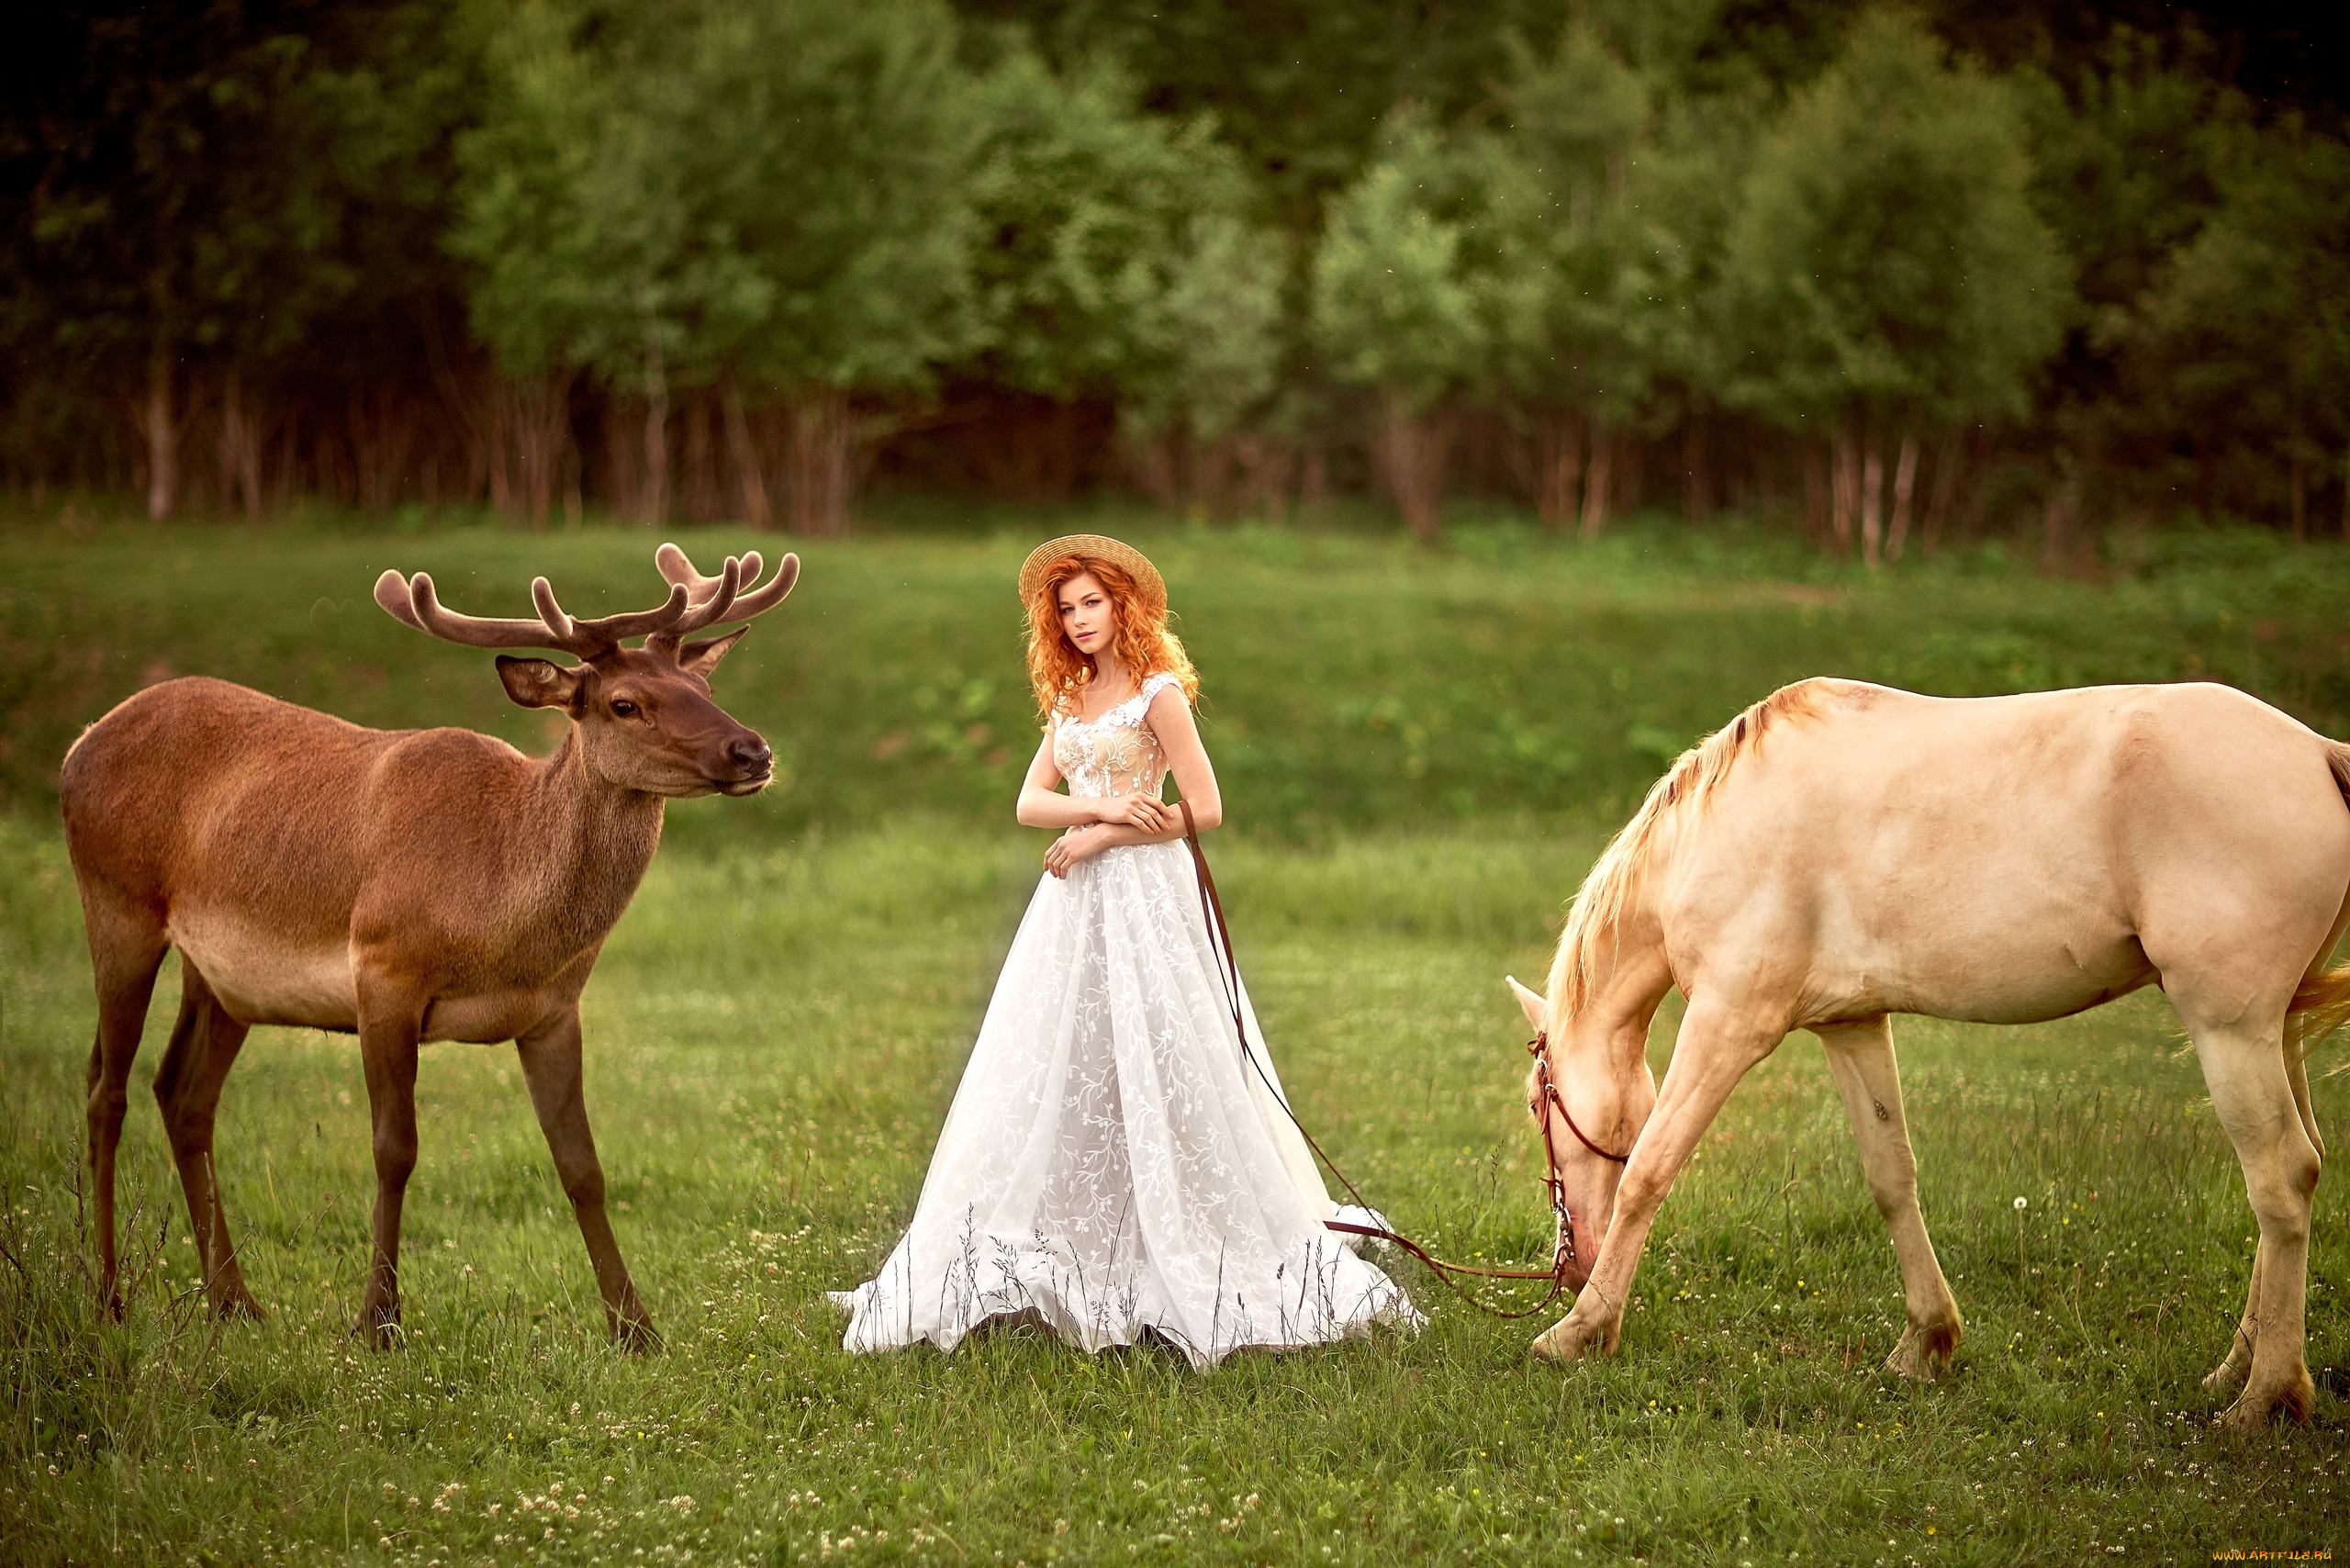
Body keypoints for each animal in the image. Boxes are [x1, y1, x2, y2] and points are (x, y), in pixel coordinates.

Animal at [62, 543, 799, 1353]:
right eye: (624, 703)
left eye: (703, 685)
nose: (752, 750)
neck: (498, 916)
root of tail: (80, 741)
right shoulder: (383, 969)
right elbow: (395, 1149)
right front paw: (377, 1321)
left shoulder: (554, 1009)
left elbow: (582, 1165)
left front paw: (636, 1329)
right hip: (116, 902)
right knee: (106, 1089)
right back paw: (108, 1298)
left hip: (225, 978)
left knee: (183, 1095)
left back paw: (235, 1302)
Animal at [1513, 681, 2340, 1428]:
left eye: (1534, 1102)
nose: (1571, 1265)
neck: (1718, 831)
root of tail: (2318, 753)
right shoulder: (1852, 1025)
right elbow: (1891, 1178)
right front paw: (1925, 1341)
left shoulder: (1727, 1022)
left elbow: (1648, 1172)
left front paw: (1578, 1332)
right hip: (2273, 1032)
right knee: (2303, 1167)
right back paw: (2235, 1367)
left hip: (2227, 1030)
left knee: (2279, 1177)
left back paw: (2265, 1395)